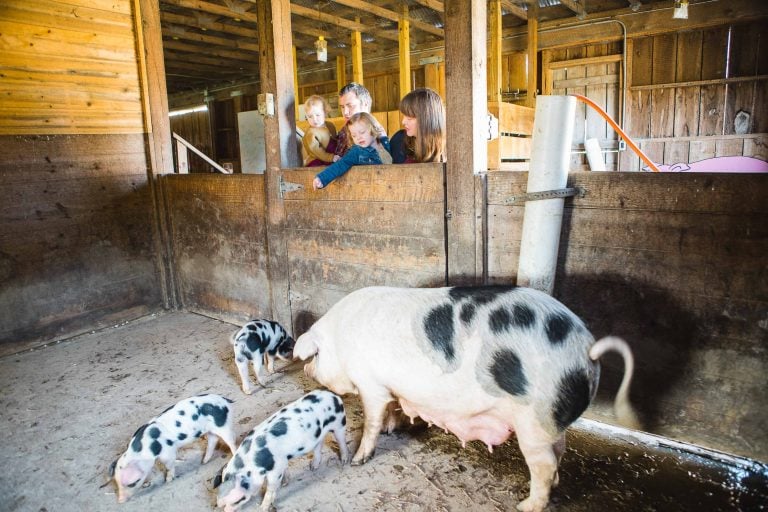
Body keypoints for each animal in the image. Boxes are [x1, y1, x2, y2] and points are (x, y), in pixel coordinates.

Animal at [214, 390, 350, 510]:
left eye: (239, 500)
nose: (225, 510)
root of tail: (333, 395)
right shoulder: (282, 461)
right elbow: (285, 470)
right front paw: (285, 482)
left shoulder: (275, 469)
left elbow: (271, 489)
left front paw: (263, 507)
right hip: (318, 435)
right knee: (318, 446)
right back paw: (313, 467)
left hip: (339, 423)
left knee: (342, 442)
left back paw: (344, 461)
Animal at [294, 286, 640, 510]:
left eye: (315, 356)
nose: (306, 369)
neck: (340, 339)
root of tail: (587, 347)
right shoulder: (389, 388)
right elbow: (393, 408)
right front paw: (394, 428)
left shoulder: (370, 384)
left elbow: (372, 420)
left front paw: (357, 460)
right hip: (551, 419)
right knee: (559, 451)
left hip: (533, 419)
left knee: (543, 464)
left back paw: (525, 505)